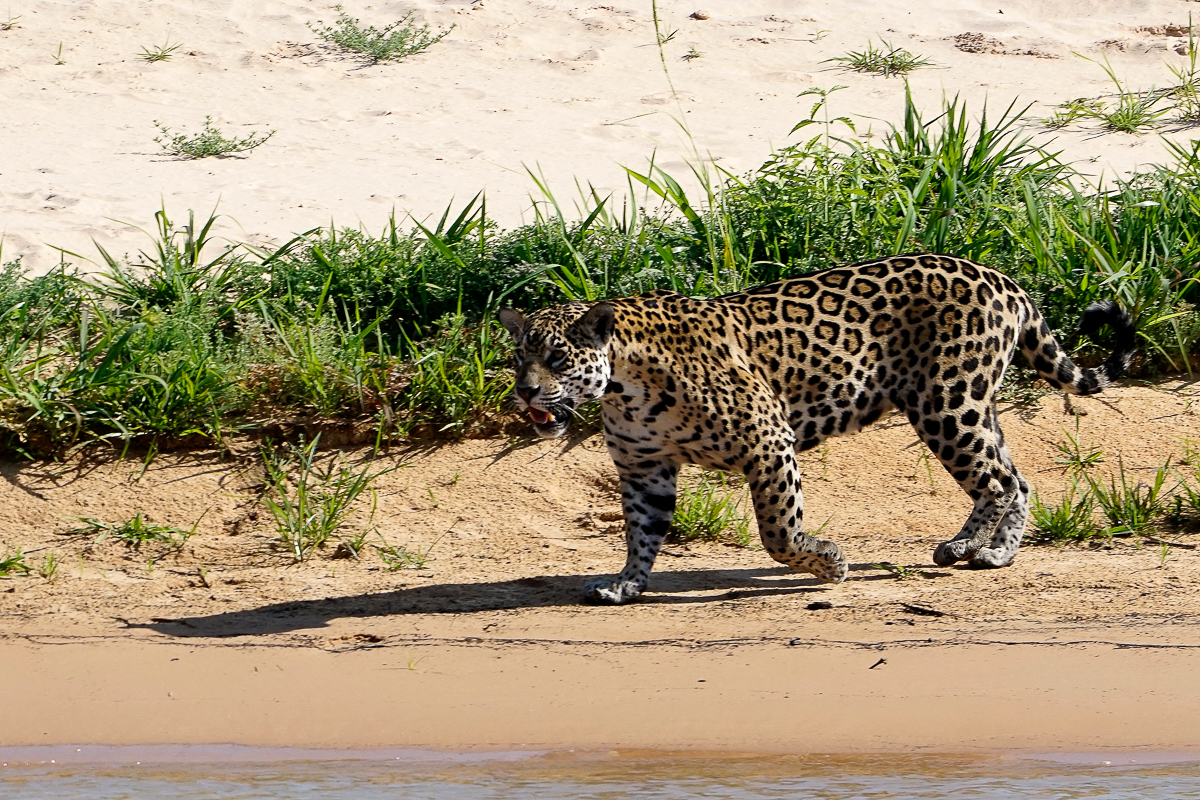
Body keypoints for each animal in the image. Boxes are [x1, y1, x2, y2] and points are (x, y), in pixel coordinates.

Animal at [499, 253, 1136, 605]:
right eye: (518, 357)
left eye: (555, 358)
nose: (525, 392)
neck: (624, 385)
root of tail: (1002, 277)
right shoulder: (643, 468)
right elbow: (641, 534)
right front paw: (626, 585)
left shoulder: (768, 441)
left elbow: (778, 533)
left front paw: (830, 562)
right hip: (971, 406)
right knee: (1010, 478)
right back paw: (980, 548)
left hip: (947, 404)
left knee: (1001, 481)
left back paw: (979, 550)